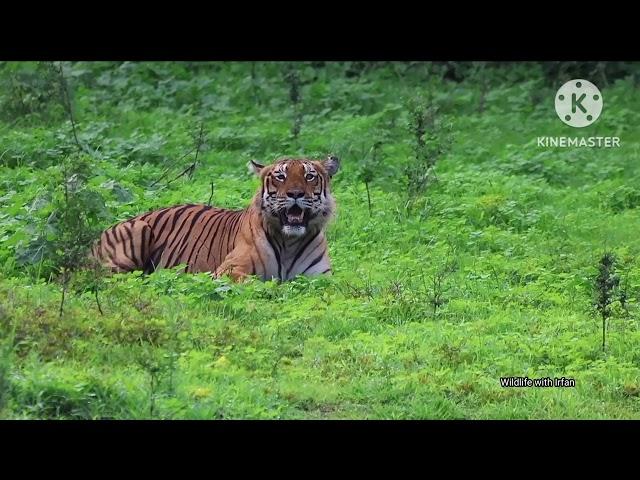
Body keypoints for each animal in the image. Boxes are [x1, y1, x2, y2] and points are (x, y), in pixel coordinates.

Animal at [91, 156, 340, 282]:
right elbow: (259, 282)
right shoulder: (230, 270)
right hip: (137, 232)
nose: (295, 193)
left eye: (309, 176)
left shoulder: (321, 278)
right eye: (281, 176)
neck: (290, 242)